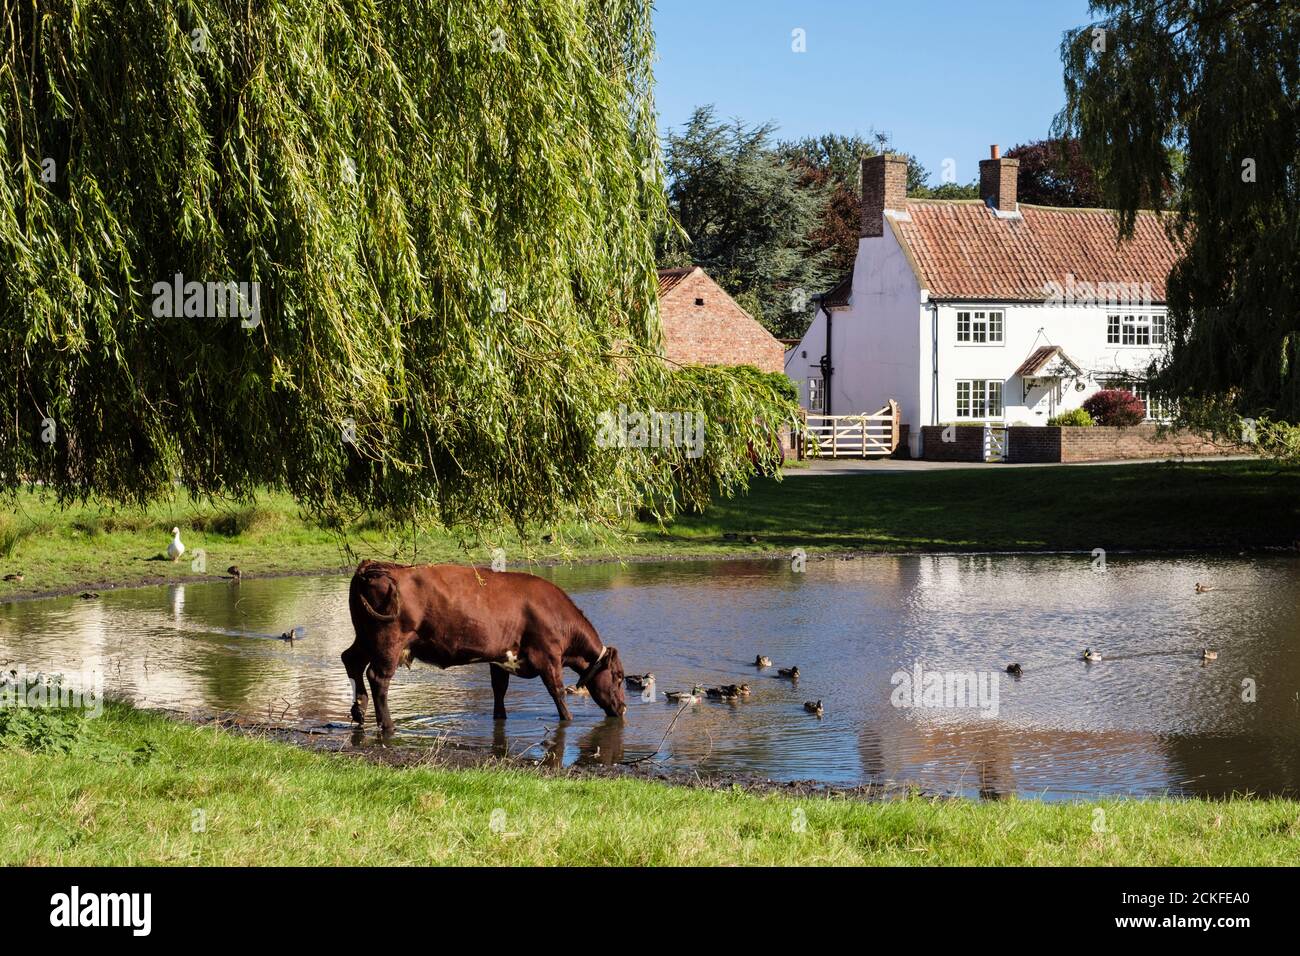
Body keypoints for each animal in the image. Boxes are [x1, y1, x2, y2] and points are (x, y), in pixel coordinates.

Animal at [343, 561, 626, 733]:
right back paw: (387, 724)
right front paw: (568, 720)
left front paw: (500, 718)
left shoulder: (499, 657)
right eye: (619, 676)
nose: (623, 708)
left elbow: (499, 690)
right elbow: (557, 692)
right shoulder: (548, 656)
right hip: (388, 641)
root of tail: (376, 568)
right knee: (378, 677)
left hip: (365, 637)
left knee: (351, 660)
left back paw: (359, 710)